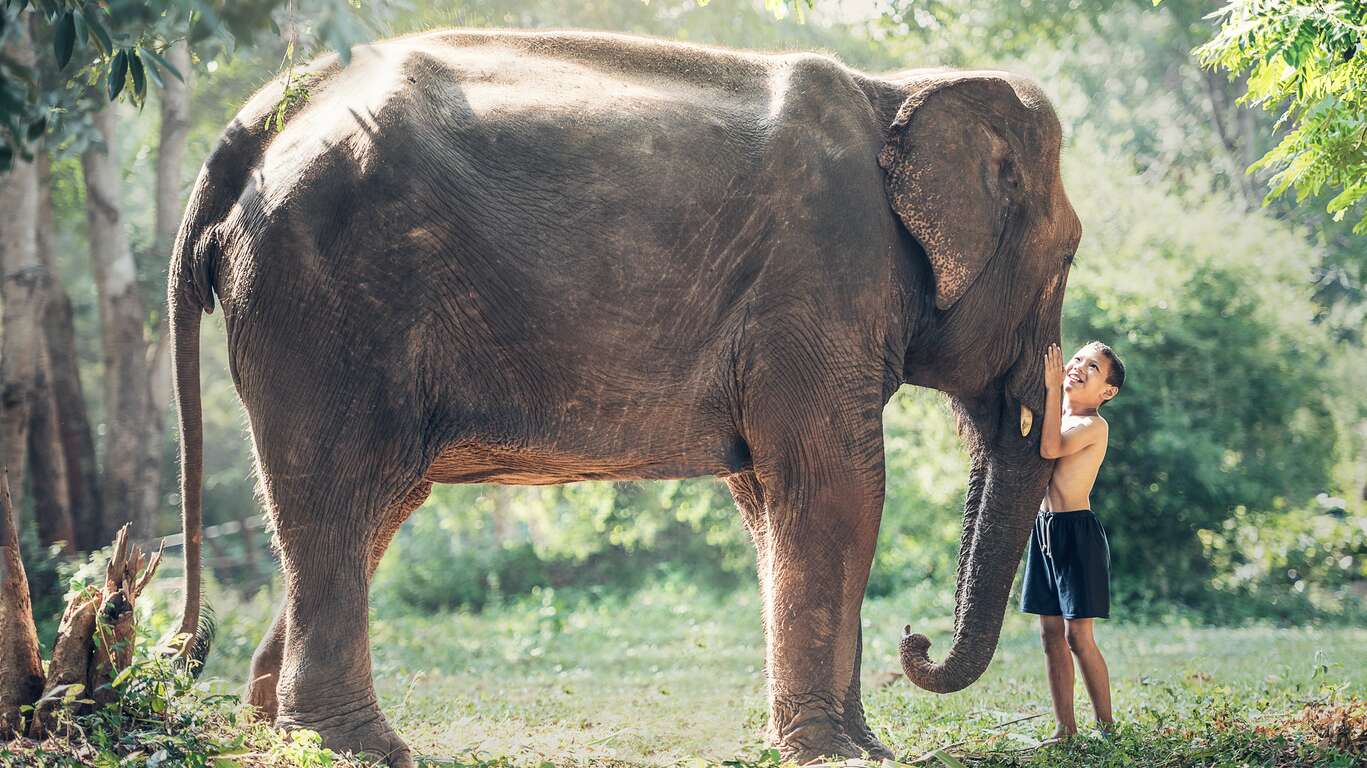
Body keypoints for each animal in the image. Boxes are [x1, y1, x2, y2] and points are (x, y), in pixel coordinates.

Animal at [165, 26, 1077, 759]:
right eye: (1069, 255)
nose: (915, 643)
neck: (895, 87)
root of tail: (259, 120)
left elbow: (769, 498)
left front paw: (853, 747)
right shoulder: (820, 278)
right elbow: (836, 488)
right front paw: (844, 756)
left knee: (370, 507)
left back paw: (273, 730)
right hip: (326, 299)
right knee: (339, 492)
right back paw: (358, 750)